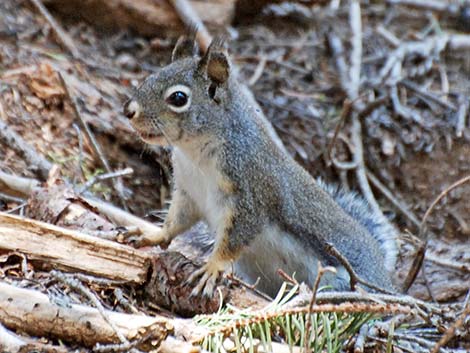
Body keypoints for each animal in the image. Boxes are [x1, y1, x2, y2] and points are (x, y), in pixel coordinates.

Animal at [123, 35, 398, 296]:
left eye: (178, 98)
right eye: (151, 76)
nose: (128, 111)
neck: (196, 153)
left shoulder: (250, 194)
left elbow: (235, 239)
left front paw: (212, 268)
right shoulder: (189, 192)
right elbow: (176, 221)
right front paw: (152, 235)